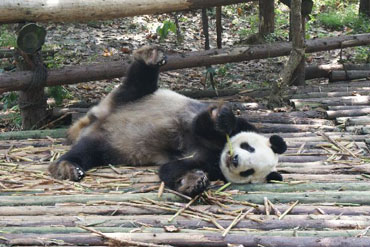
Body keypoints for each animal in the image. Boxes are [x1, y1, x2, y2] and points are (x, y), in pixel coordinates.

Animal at [48, 45, 286, 197]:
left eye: (249, 171)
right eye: (249, 147)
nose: (234, 160)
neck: (218, 150)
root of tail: (98, 117)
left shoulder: (210, 164)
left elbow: (172, 170)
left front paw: (194, 182)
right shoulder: (233, 126)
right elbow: (202, 124)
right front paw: (222, 119)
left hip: (108, 145)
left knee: (89, 151)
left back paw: (69, 166)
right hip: (130, 97)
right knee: (139, 81)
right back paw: (150, 56)